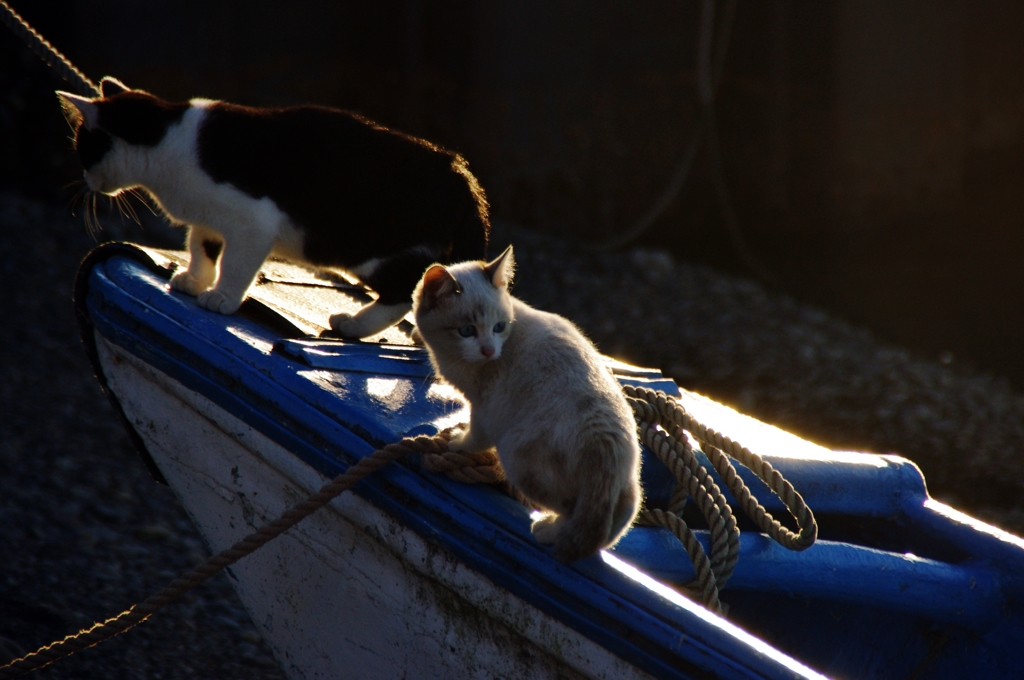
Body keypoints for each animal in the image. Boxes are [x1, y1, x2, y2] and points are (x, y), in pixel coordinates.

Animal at [58, 78, 489, 337]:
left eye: (83, 150)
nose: (87, 183)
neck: (170, 142)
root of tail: (459, 173)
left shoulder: (253, 223)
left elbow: (235, 263)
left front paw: (222, 298)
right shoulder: (208, 220)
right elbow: (201, 247)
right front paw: (195, 279)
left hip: (368, 245)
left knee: (404, 288)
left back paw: (352, 325)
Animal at [409, 246, 638, 561]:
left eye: (498, 327)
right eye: (466, 330)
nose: (489, 351)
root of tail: (604, 442)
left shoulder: (485, 406)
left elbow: (474, 437)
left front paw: (457, 442)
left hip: (518, 459)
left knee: (572, 510)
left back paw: (549, 531)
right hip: (627, 483)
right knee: (615, 521)